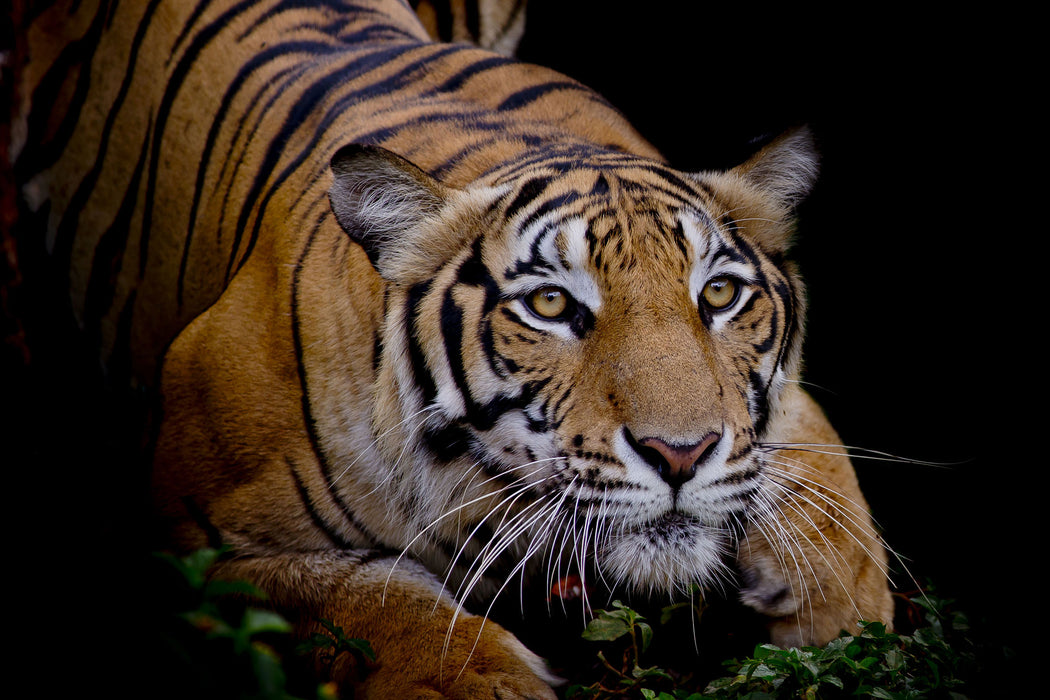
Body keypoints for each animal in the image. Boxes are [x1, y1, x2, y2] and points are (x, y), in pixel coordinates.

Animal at [8, 0, 894, 696]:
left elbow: (822, 476)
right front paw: (481, 681)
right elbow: (371, 603)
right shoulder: (197, 544)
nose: (681, 454)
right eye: (550, 305)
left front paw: (845, 615)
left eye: (717, 296)